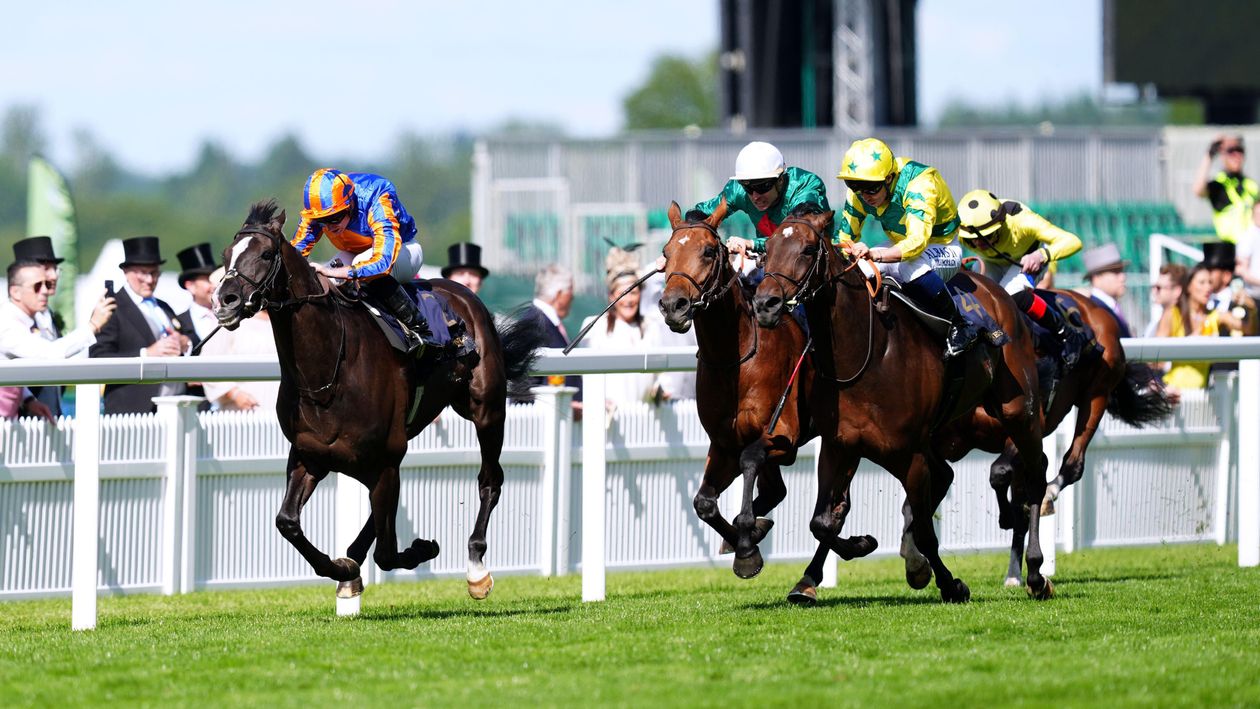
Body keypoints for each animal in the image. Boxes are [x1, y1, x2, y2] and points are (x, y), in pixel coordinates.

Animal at [212, 202, 546, 601]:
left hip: (486, 409)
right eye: (226, 255)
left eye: (265, 254)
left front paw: (420, 549)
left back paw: (477, 568)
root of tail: (465, 295)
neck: (325, 375)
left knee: (489, 479)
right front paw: (343, 567)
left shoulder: (385, 458)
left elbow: (386, 554)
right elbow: (287, 522)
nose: (225, 301)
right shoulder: (311, 456)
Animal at [745, 210, 1053, 604]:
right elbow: (822, 521)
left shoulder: (910, 455)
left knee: (1036, 477)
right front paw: (859, 547)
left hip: (1018, 409)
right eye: (766, 250)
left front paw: (950, 583)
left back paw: (1036, 573)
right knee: (950, 476)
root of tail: (997, 291)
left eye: (808, 249)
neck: (864, 356)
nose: (764, 305)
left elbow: (924, 530)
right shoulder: (839, 446)